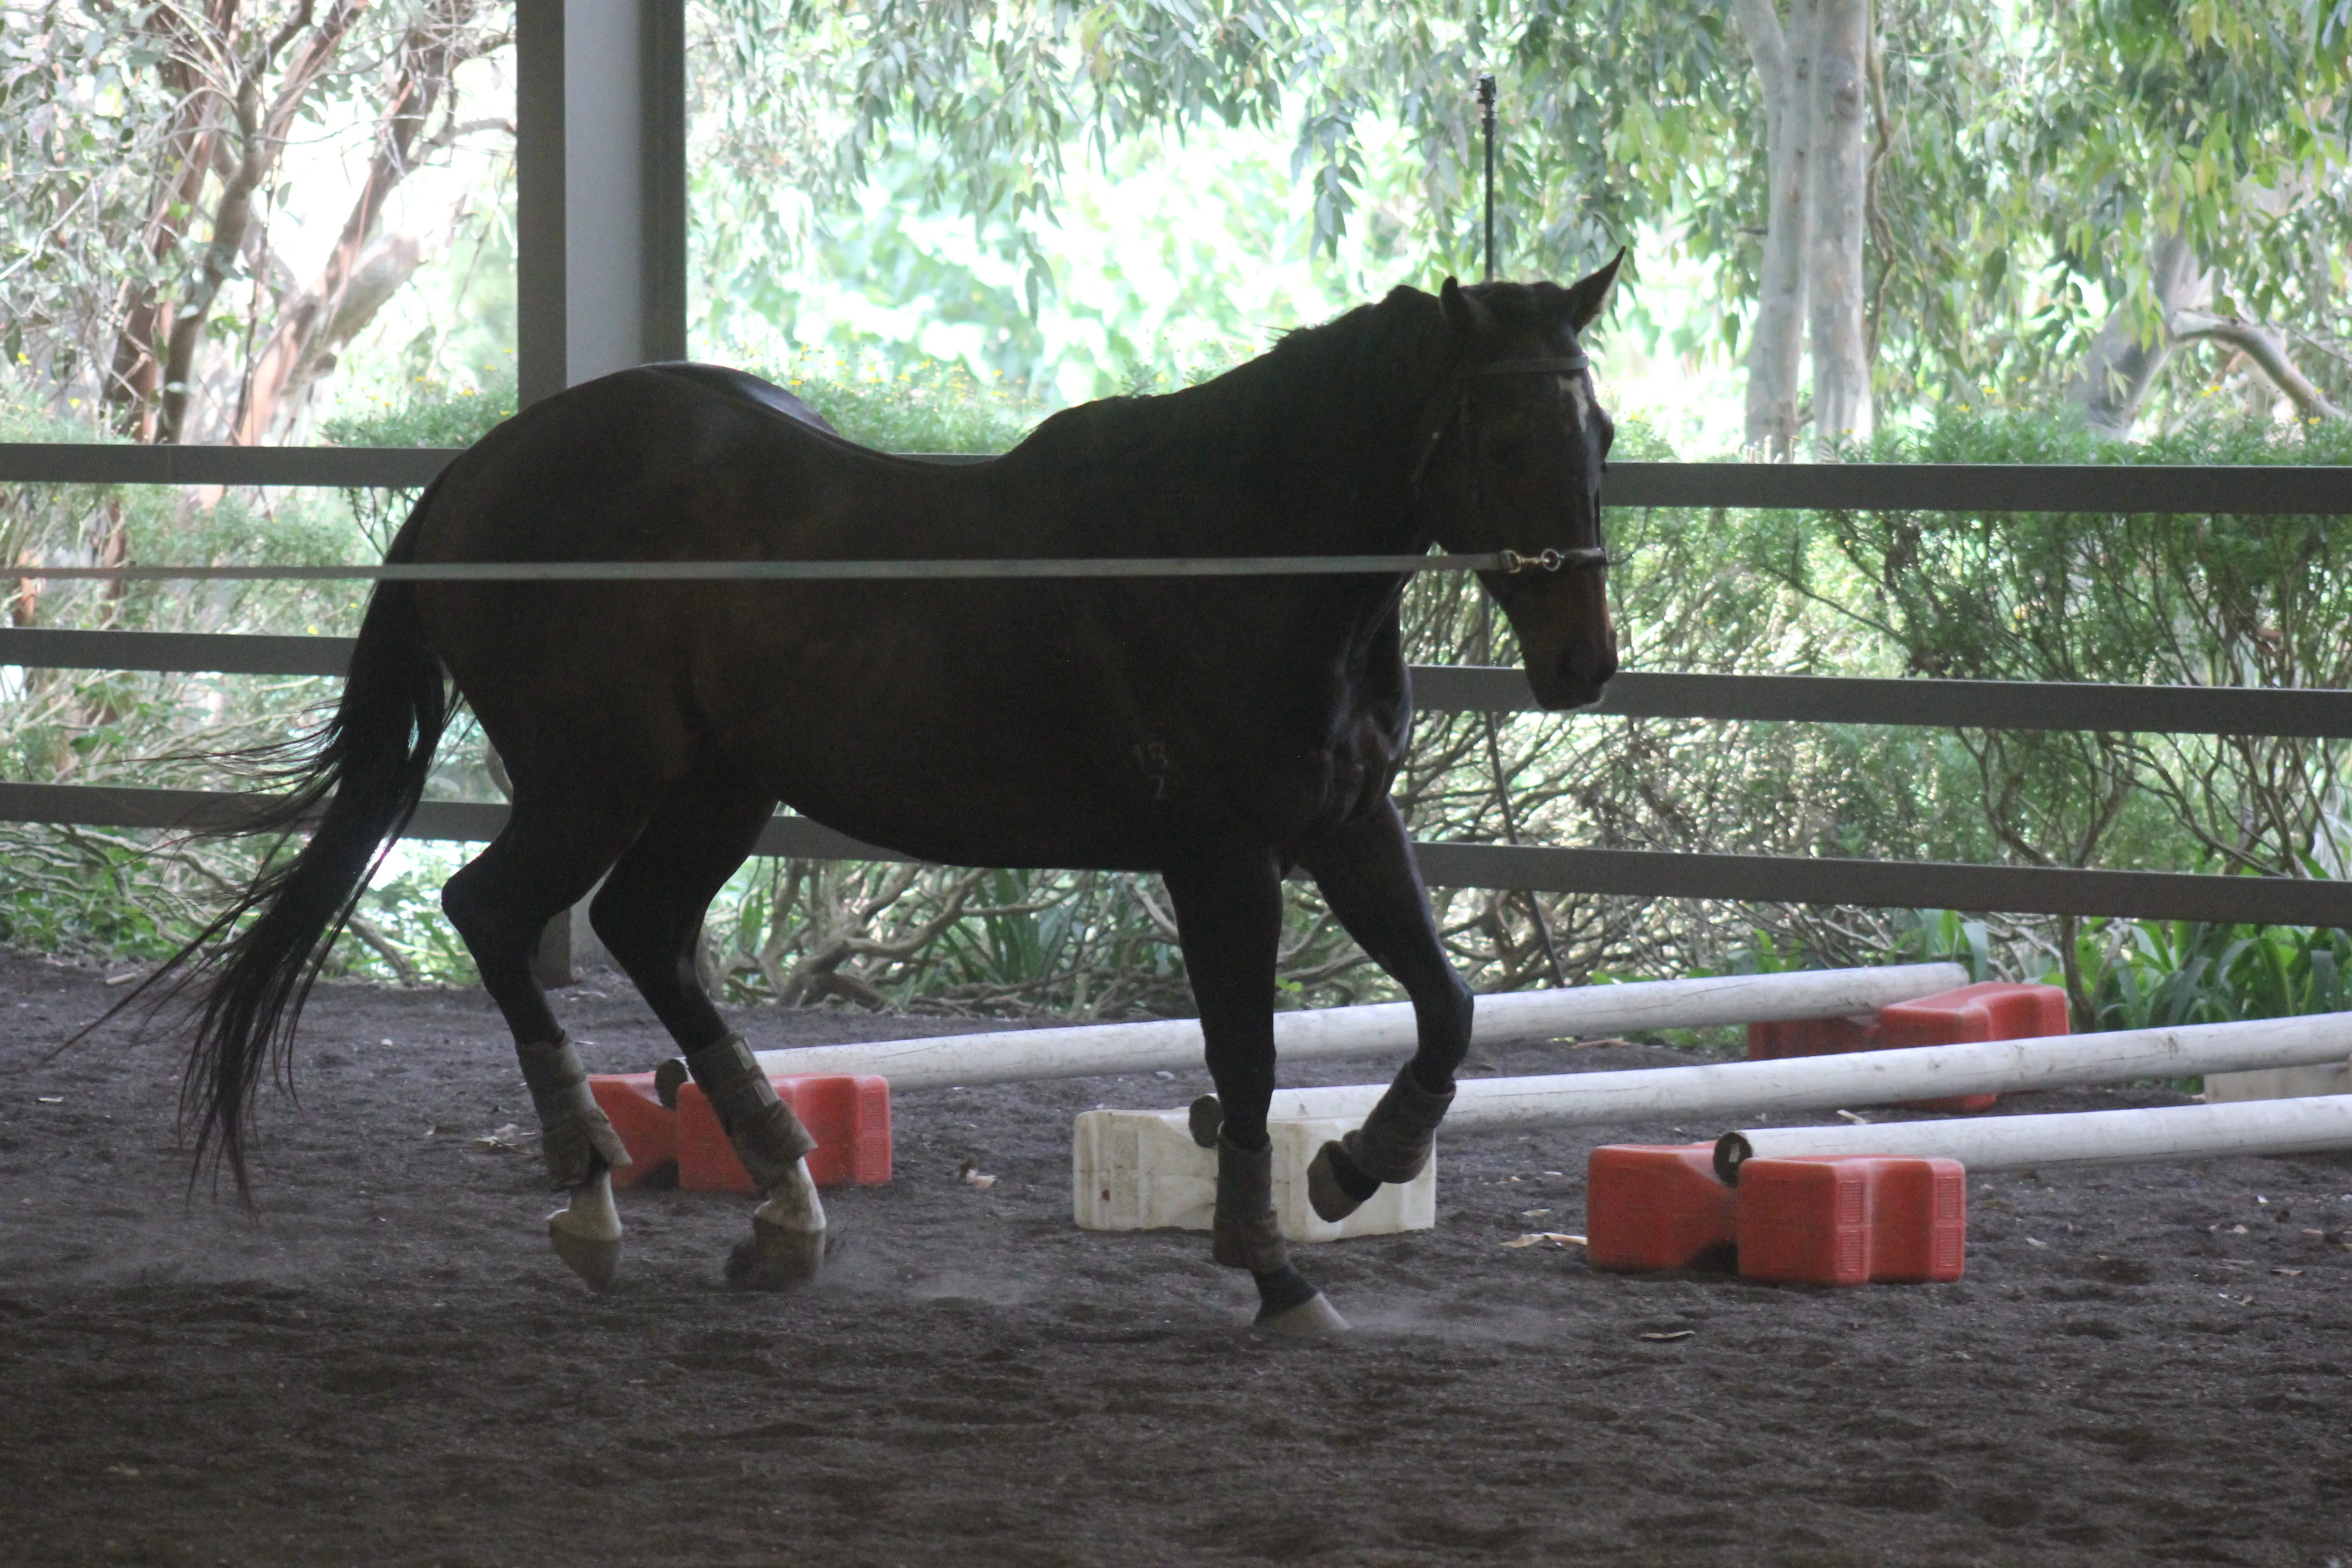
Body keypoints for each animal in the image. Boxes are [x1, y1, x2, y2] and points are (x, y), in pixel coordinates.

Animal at [178, 263, 1618, 1335]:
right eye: (1504, 439)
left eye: (1598, 434)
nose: (1583, 662)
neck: (1243, 549)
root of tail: (477, 472)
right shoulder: (1222, 858)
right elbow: (1248, 1063)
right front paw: (1274, 1271)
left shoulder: (1348, 827)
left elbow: (1447, 1008)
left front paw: (1358, 1165)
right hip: (595, 783)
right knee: (491, 910)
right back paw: (590, 1189)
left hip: (717, 789)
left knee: (647, 930)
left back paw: (782, 1210)